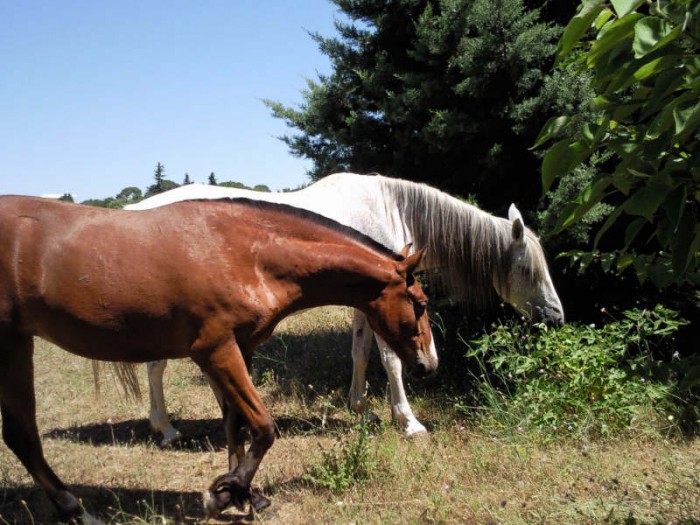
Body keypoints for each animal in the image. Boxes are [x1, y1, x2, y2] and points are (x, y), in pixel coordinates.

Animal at [0, 195, 438, 520]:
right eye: (419, 304)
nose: (427, 366)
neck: (244, 253)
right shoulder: (215, 350)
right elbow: (263, 426)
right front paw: (224, 493)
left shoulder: (238, 349)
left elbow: (235, 426)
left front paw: (246, 494)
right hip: (13, 346)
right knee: (23, 436)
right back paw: (77, 510)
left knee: (20, 437)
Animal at [126, 172, 564, 442]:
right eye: (526, 268)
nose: (555, 316)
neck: (390, 209)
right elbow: (391, 360)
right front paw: (408, 421)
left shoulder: (368, 302)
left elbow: (360, 352)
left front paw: (362, 410)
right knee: (155, 366)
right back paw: (166, 429)